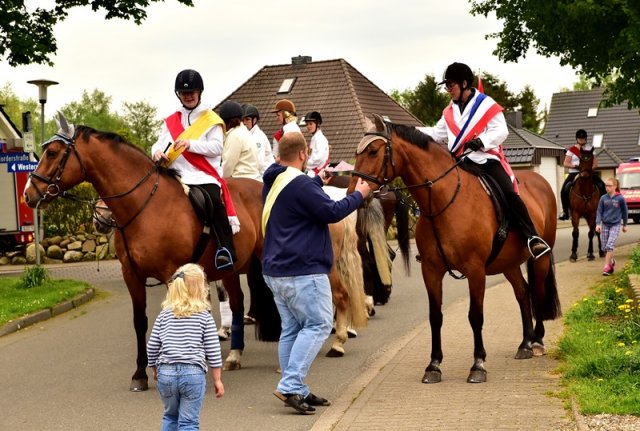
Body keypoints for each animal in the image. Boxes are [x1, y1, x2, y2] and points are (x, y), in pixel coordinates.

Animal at [348, 115, 564, 384]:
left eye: (373, 151)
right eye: (357, 152)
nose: (353, 192)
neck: (444, 200)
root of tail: (541, 181)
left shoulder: (475, 271)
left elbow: (475, 315)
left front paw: (478, 364)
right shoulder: (431, 271)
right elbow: (435, 316)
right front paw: (433, 365)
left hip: (540, 257)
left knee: (537, 291)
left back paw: (537, 342)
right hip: (509, 263)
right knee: (523, 293)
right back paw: (525, 343)